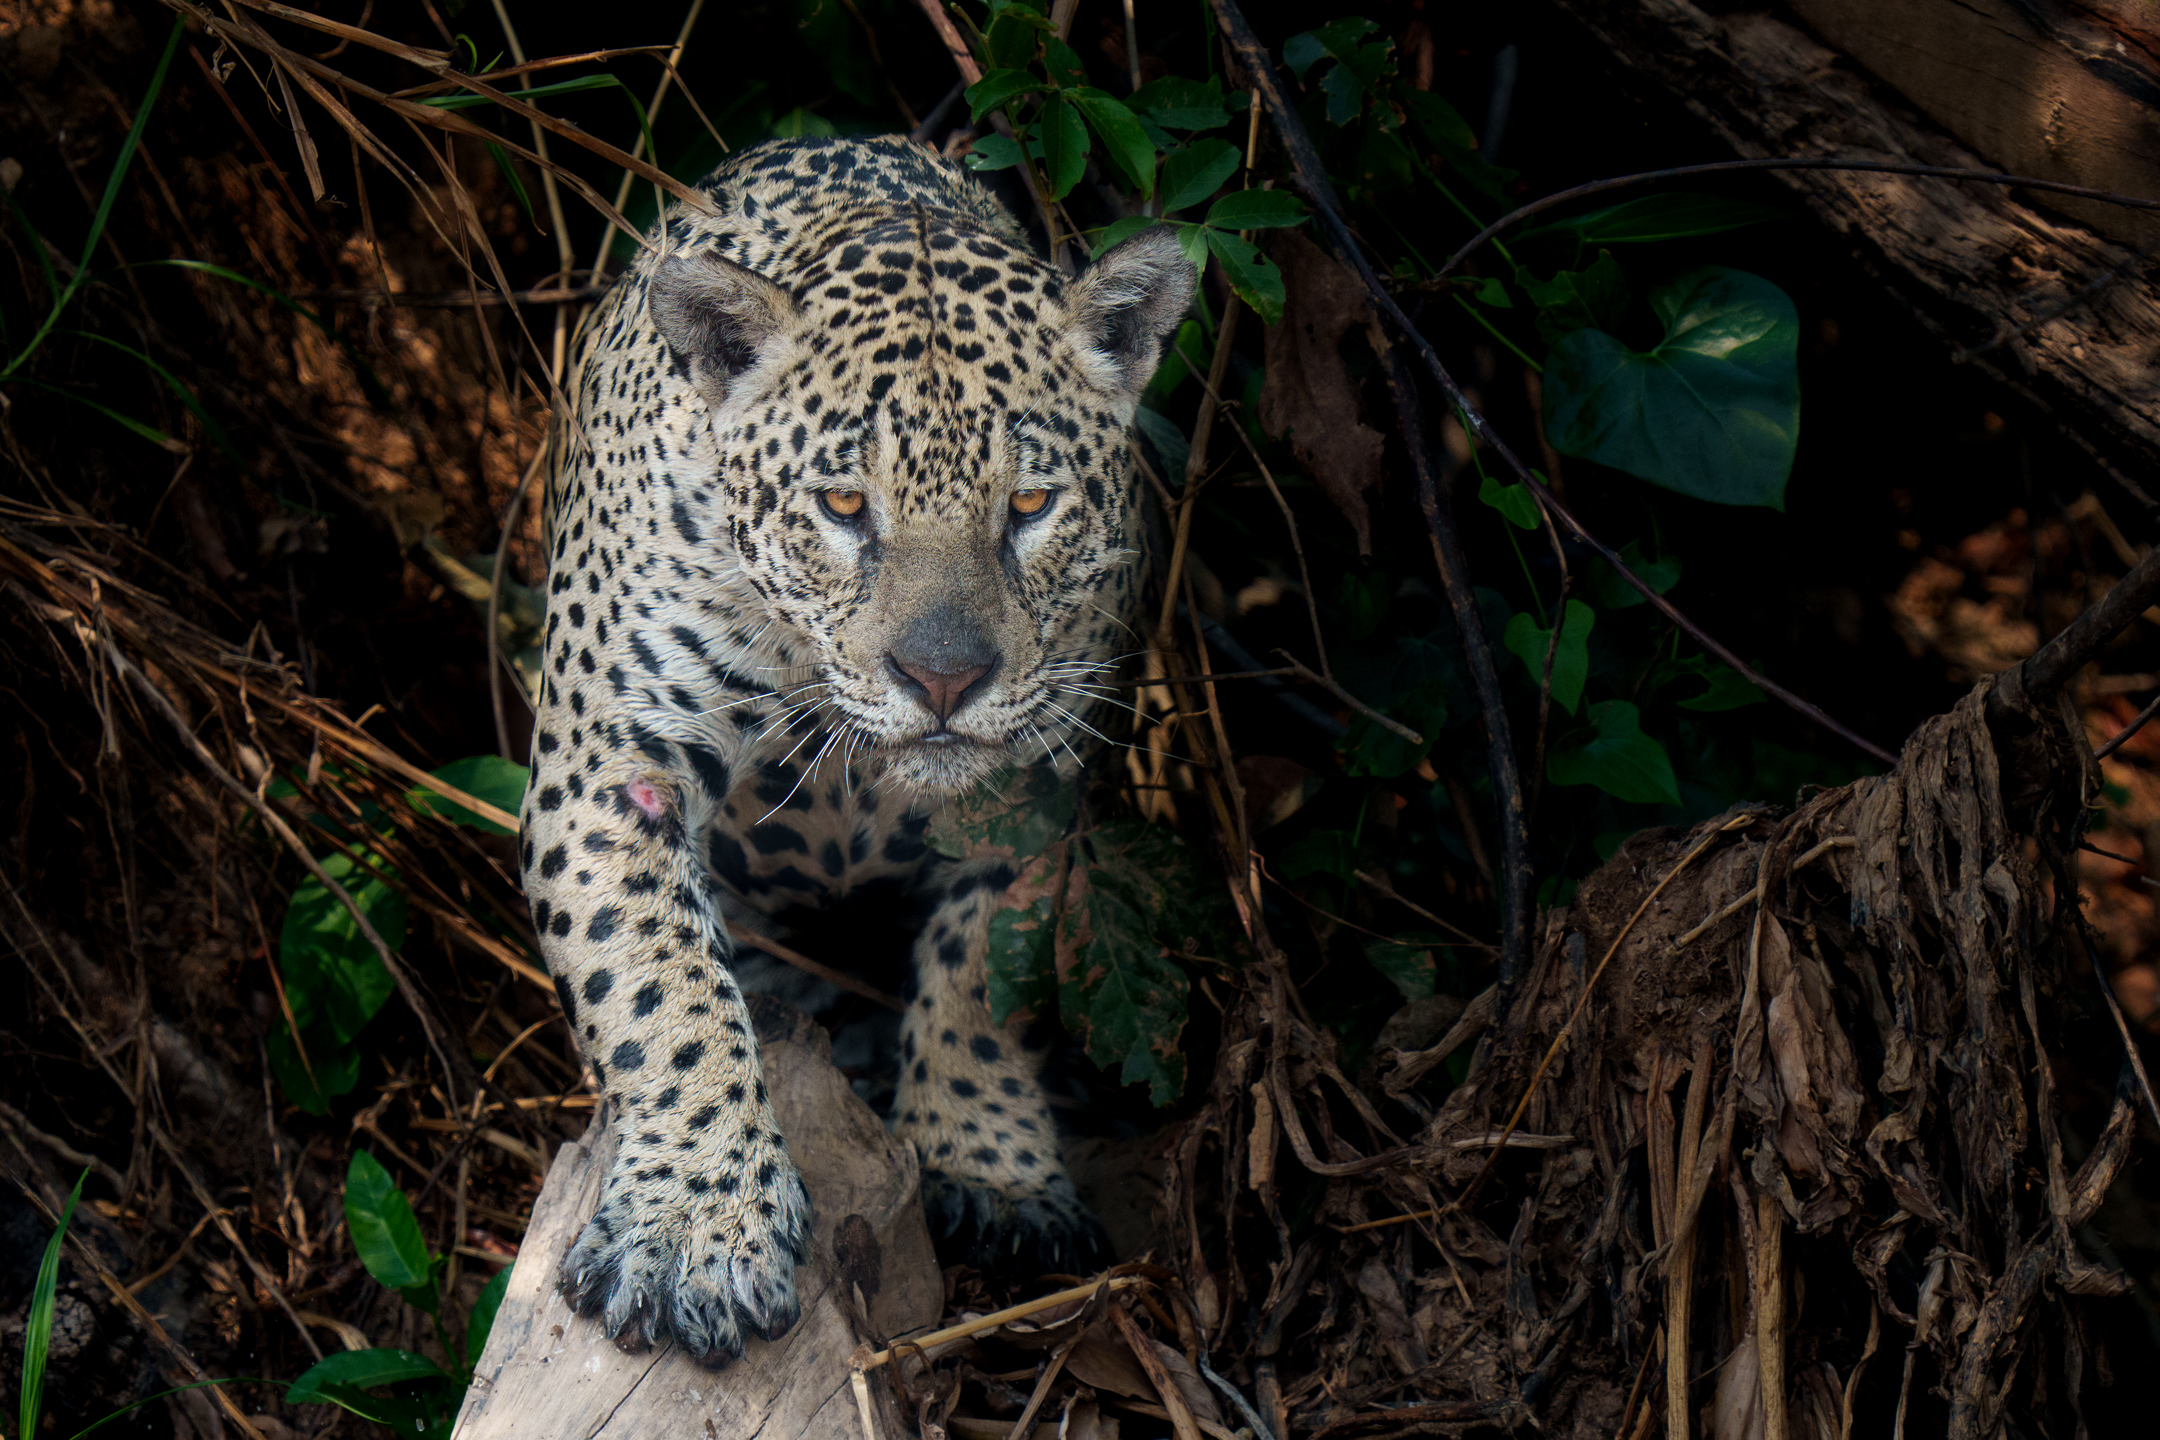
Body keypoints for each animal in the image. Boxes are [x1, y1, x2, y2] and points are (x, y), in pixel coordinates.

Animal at [518, 133, 1195, 1367]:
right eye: (842, 504)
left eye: (1030, 503)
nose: (944, 680)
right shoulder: (610, 771)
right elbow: (659, 983)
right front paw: (695, 1230)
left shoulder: (1036, 779)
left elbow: (987, 971)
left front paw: (990, 1160)